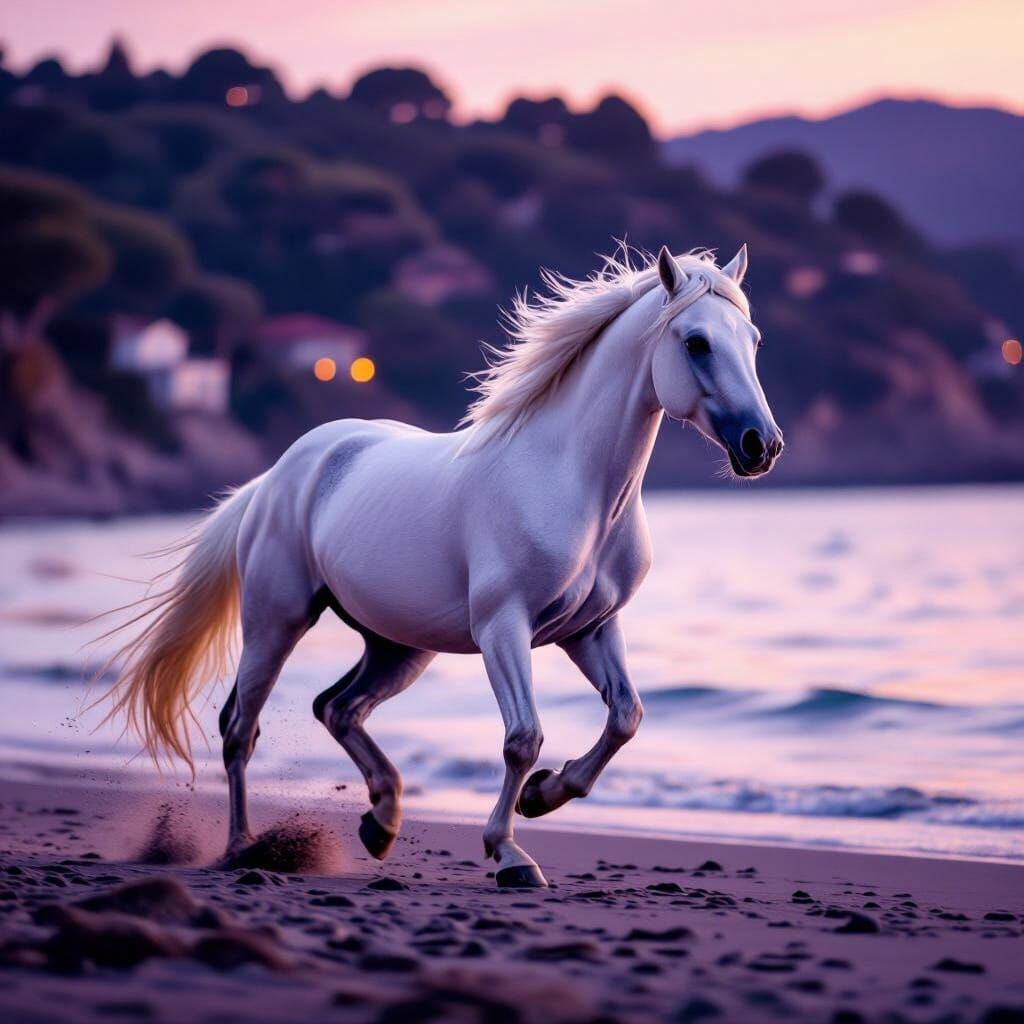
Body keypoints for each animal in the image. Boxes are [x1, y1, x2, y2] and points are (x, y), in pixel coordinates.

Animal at [103, 244, 783, 888]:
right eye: (696, 342)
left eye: (753, 341)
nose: (762, 446)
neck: (573, 485)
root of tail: (278, 474)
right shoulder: (503, 629)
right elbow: (522, 738)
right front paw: (510, 854)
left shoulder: (591, 629)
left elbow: (626, 717)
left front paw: (545, 794)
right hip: (277, 621)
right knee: (241, 728)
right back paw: (245, 846)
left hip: (399, 647)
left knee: (336, 707)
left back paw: (381, 821)